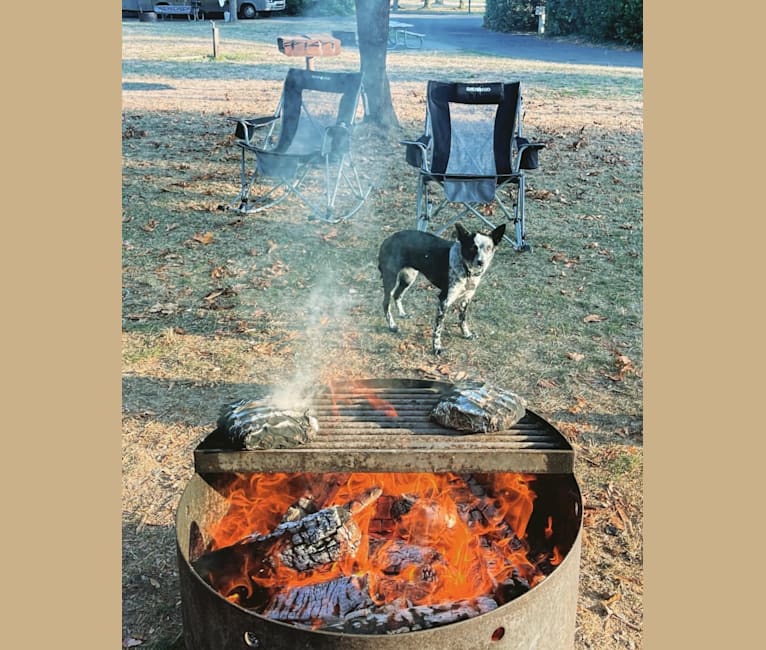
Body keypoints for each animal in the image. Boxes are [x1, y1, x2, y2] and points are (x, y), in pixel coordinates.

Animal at [376, 223, 504, 354]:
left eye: (488, 248)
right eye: (473, 248)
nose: (481, 262)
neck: (466, 270)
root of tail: (388, 239)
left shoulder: (466, 299)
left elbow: (462, 319)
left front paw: (467, 334)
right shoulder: (444, 300)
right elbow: (438, 329)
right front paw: (436, 347)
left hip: (408, 278)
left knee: (397, 295)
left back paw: (402, 314)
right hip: (391, 280)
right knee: (386, 303)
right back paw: (392, 326)